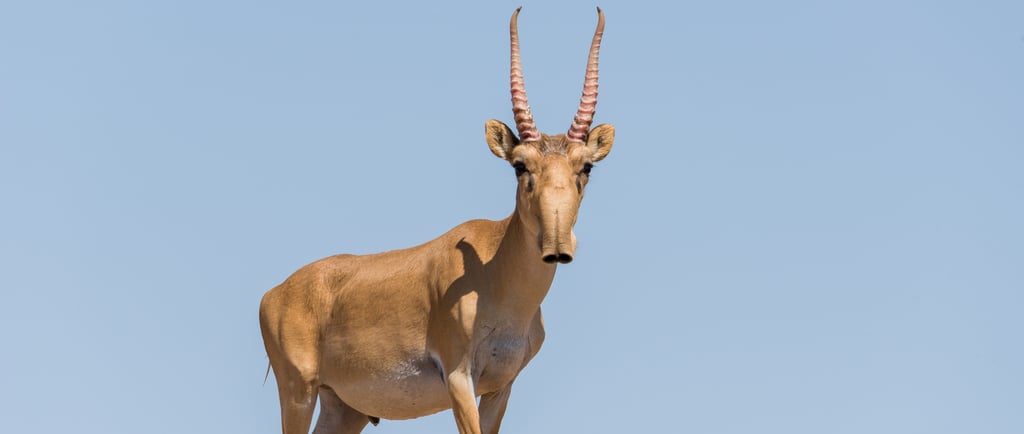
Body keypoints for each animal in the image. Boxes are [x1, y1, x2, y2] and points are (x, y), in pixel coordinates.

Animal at [259, 7, 614, 434]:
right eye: (519, 165)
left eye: (586, 166)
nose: (558, 245)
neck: (494, 271)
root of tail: (273, 294)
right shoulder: (459, 378)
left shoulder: (501, 388)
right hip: (299, 391)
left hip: (343, 407)